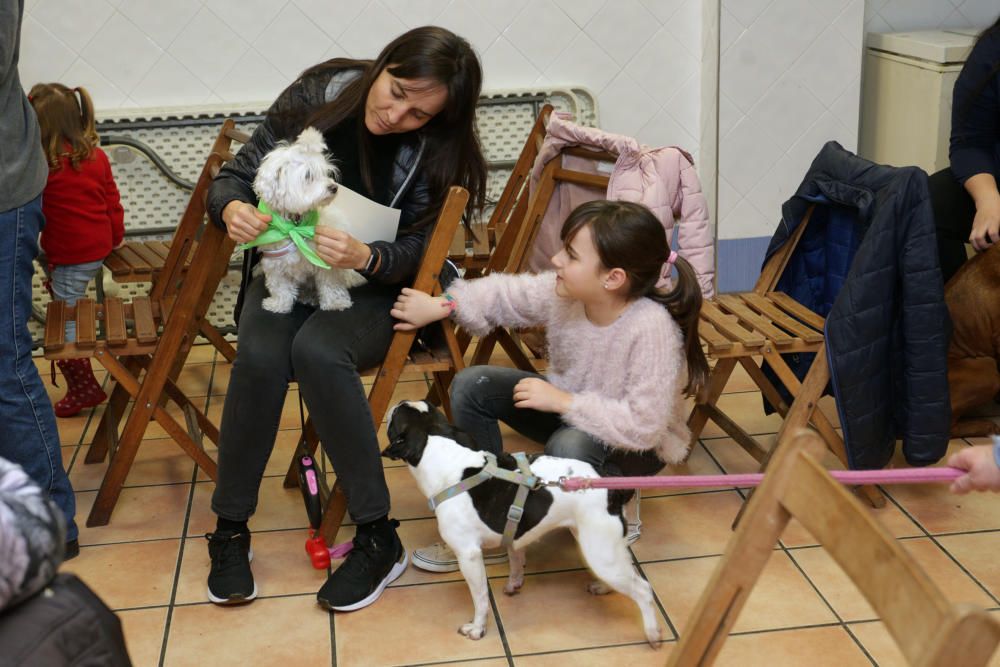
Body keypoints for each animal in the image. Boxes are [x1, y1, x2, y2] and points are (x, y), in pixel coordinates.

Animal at [252, 126, 366, 314]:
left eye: (326, 173)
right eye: (308, 175)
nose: (334, 187)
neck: (294, 226)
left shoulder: (327, 262)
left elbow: (330, 284)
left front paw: (336, 303)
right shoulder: (274, 265)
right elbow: (280, 288)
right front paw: (279, 305)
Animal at [378, 402, 660, 648]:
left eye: (395, 418)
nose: (398, 402)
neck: (441, 451)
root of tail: (611, 484)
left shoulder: (468, 556)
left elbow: (480, 597)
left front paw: (477, 628)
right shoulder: (513, 534)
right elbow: (516, 560)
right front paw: (514, 583)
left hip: (599, 551)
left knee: (643, 589)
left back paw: (653, 633)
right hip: (603, 545)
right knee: (628, 569)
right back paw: (603, 587)